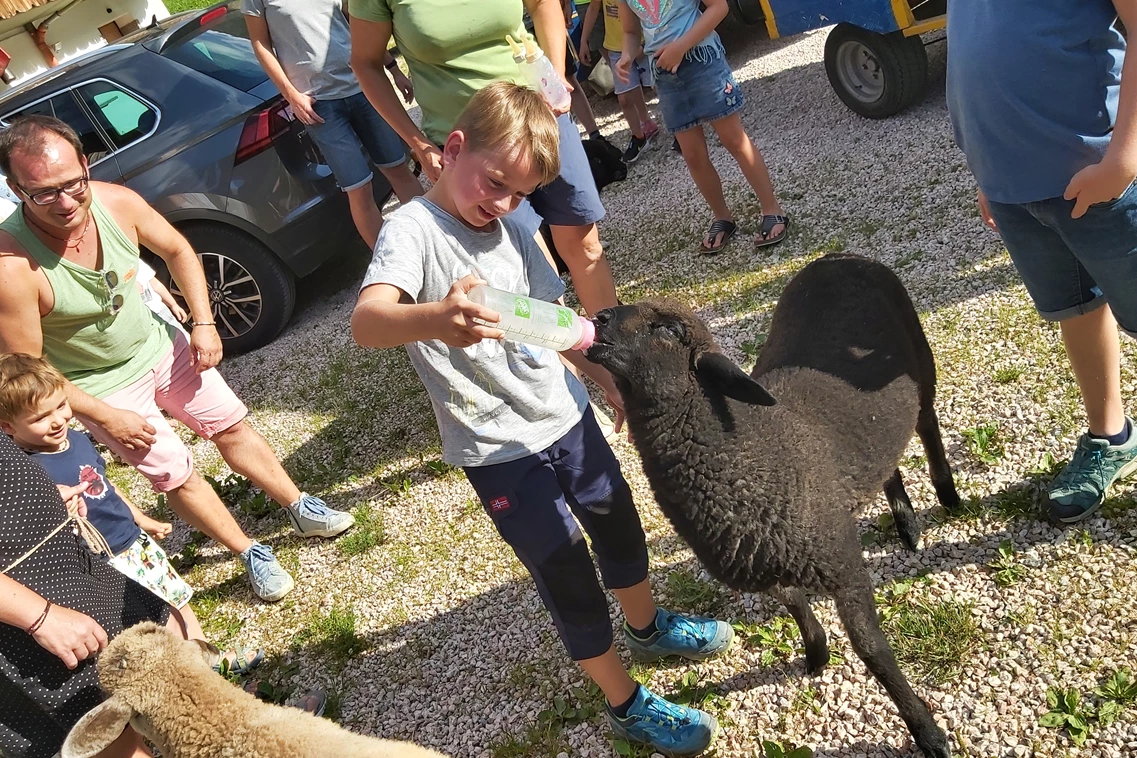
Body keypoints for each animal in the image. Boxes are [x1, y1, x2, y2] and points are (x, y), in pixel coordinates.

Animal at [586, 254, 959, 758]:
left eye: (669, 329)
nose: (600, 319)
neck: (746, 448)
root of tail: (838, 257)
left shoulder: (839, 559)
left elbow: (872, 650)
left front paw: (927, 731)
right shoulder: (761, 559)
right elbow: (795, 604)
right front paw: (817, 653)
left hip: (921, 365)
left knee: (927, 425)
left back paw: (948, 498)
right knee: (886, 458)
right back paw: (905, 521)